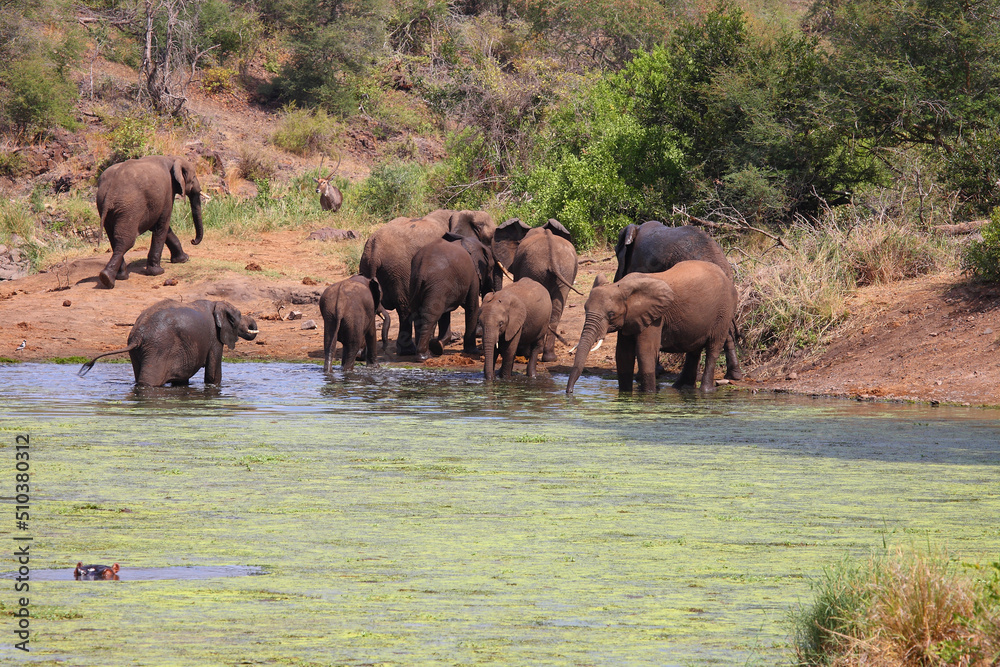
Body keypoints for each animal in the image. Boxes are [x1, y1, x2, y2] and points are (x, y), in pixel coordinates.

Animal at [78, 298, 258, 386]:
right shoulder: (215, 338)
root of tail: (137, 337)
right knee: (148, 381)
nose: (251, 325)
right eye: (239, 316)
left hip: (139, 352)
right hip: (158, 348)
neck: (216, 303)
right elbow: (213, 376)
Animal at [96, 158, 205, 290]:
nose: (193, 241)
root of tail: (109, 193)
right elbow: (163, 225)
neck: (172, 159)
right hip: (129, 208)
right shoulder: (168, 191)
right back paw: (108, 279)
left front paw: (183, 259)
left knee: (114, 240)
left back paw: (117, 277)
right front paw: (158, 272)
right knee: (125, 241)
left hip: (105, 208)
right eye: (193, 177)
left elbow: (160, 227)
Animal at [492, 220, 580, 362]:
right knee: (555, 312)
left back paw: (529, 354)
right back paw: (549, 357)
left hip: (535, 268)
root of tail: (551, 255)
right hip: (564, 269)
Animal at [568, 260, 740, 396]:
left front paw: (649, 394)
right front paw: (625, 394)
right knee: (694, 350)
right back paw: (681, 388)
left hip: (724, 311)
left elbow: (645, 351)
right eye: (585, 309)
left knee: (713, 347)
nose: (569, 392)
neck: (622, 287)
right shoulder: (631, 317)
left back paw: (706, 391)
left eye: (611, 314)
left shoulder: (655, 317)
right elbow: (623, 354)